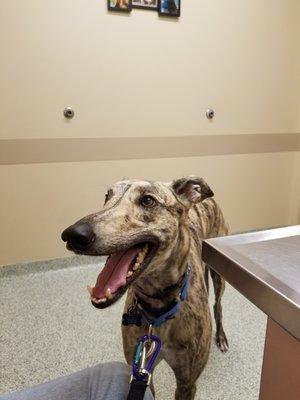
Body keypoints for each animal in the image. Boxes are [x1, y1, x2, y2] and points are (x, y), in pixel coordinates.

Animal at [61, 177, 230, 398]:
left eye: (148, 200)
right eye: (107, 196)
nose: (72, 235)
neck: (158, 306)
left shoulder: (187, 382)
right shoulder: (141, 371)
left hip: (219, 274)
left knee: (218, 304)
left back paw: (221, 337)